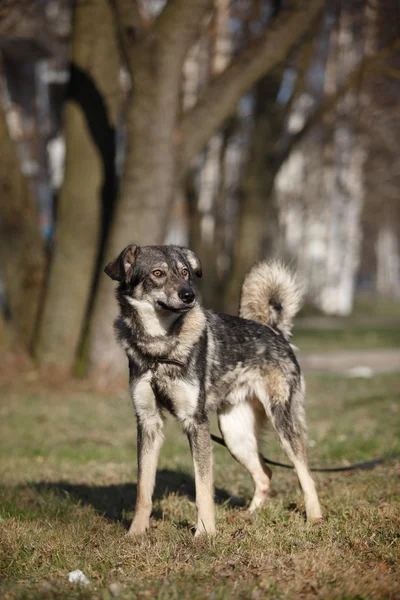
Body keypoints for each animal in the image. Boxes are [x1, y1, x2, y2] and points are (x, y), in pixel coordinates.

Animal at [104, 243, 322, 536]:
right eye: (157, 273)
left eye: (185, 271)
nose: (189, 295)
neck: (160, 349)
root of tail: (275, 330)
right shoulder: (148, 422)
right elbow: (143, 489)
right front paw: (136, 534)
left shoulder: (195, 422)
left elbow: (203, 488)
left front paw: (205, 533)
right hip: (234, 435)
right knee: (265, 473)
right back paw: (249, 516)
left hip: (282, 424)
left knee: (305, 473)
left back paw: (314, 518)